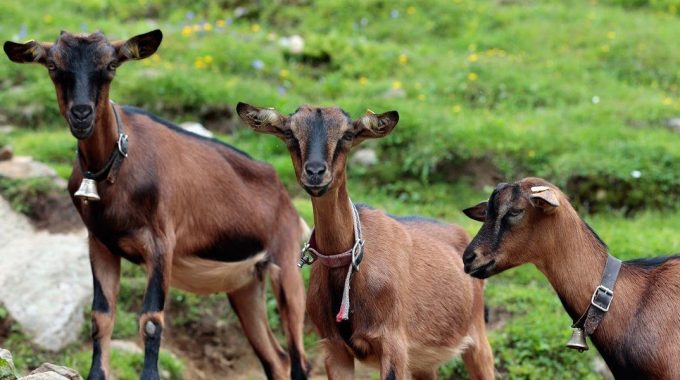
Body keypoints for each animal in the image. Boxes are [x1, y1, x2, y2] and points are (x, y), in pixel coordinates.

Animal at [3, 30, 308, 380]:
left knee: (299, 358)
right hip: (245, 284)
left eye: (111, 65)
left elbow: (150, 321)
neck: (115, 166)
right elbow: (100, 317)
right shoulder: (100, 243)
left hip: (286, 266)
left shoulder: (162, 243)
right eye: (53, 65)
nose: (81, 114)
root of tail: (286, 200)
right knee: (277, 358)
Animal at [239, 104, 494, 380]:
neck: (350, 265)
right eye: (290, 133)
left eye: (347, 135)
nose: (315, 172)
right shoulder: (334, 348)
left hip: (477, 341)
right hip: (423, 362)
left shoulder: (393, 344)